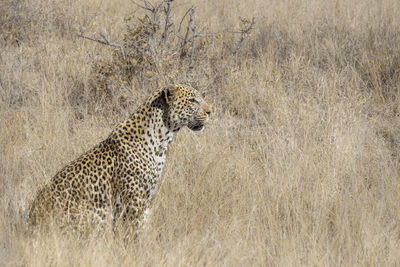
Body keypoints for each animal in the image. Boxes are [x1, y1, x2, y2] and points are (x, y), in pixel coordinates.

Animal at [28, 83, 212, 234]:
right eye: (193, 100)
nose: (210, 111)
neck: (163, 138)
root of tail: (30, 221)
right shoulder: (134, 201)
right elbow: (134, 234)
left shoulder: (144, 200)